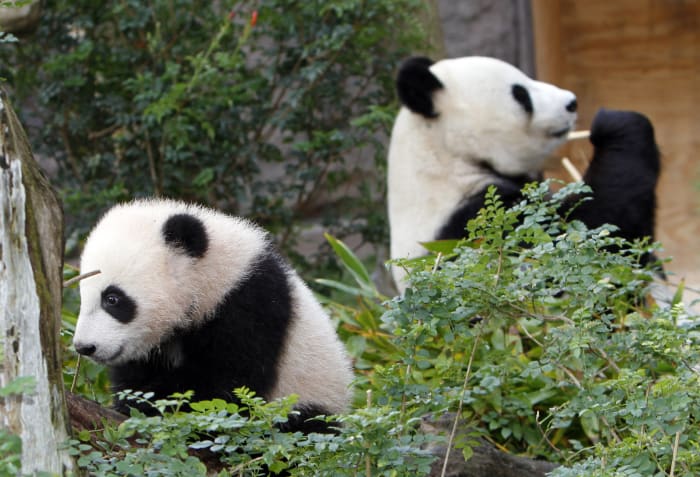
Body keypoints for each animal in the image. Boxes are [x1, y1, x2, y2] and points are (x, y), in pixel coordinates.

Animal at [388, 56, 659, 292]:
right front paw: (615, 123)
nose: (571, 103)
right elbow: (585, 238)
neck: (443, 158)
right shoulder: (474, 226)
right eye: (520, 95)